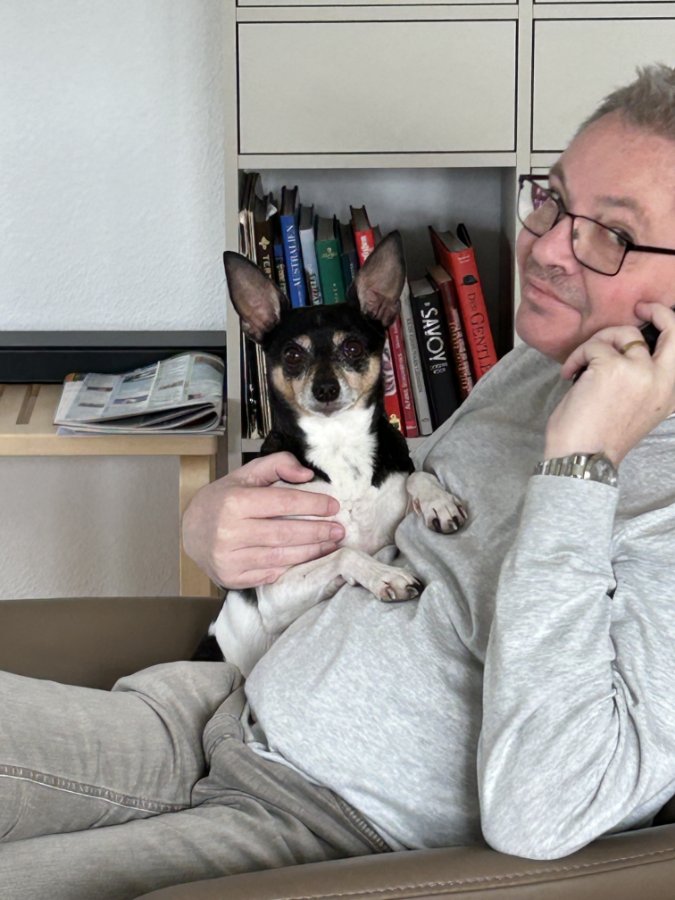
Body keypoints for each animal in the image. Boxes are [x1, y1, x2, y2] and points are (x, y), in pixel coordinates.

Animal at [196, 231, 467, 676]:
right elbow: (343, 553)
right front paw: (385, 575)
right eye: (292, 355)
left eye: (353, 347)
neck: (339, 449)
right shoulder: (277, 593)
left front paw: (438, 501)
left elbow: (416, 475)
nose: (325, 388)